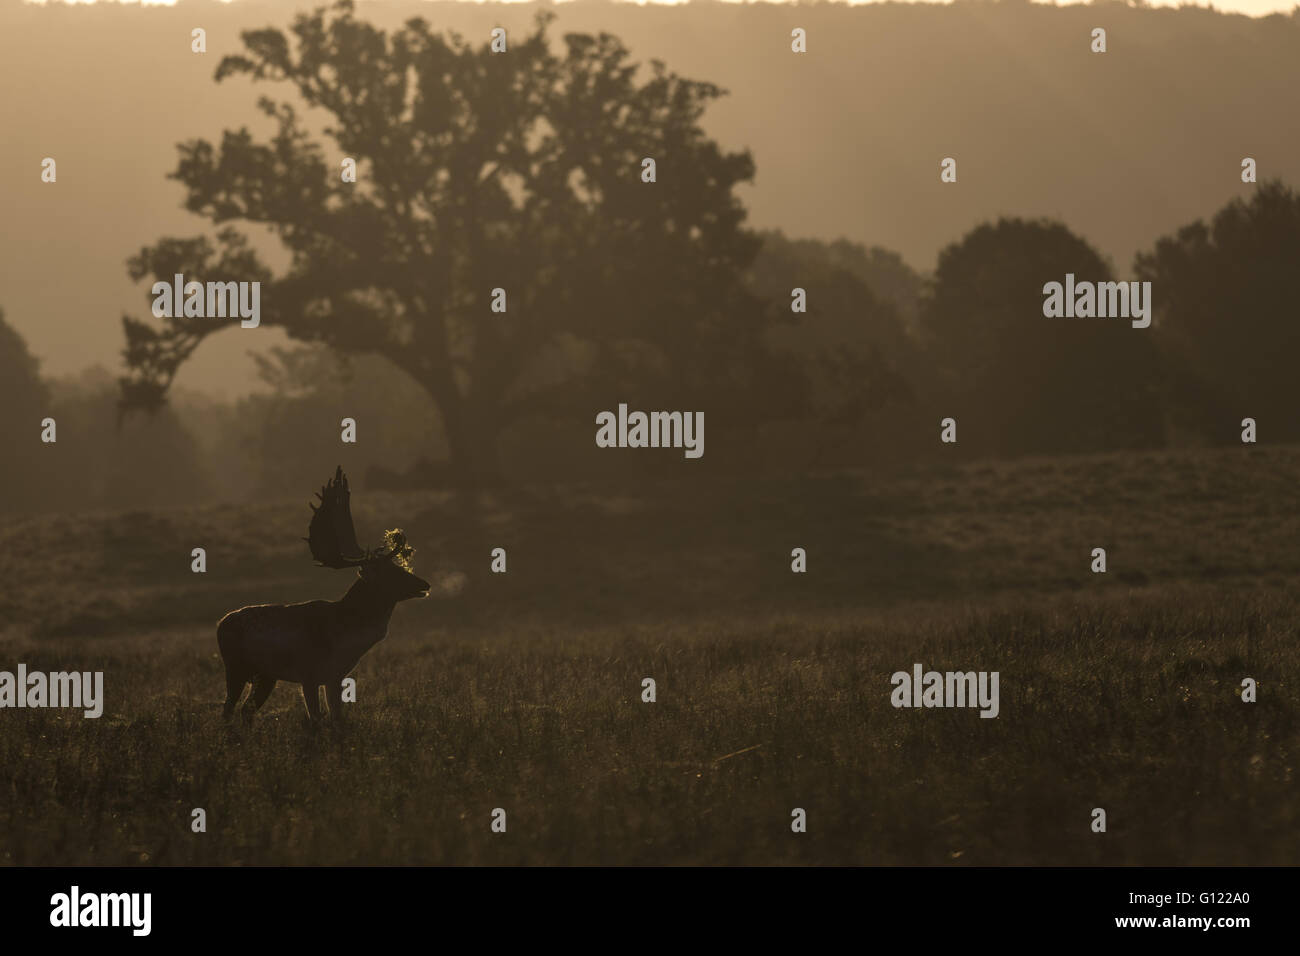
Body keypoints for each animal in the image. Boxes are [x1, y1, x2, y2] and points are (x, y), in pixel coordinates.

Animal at [217, 465, 431, 723]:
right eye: (390, 572)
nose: (425, 584)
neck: (344, 636)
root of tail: (220, 624)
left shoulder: (335, 676)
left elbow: (337, 719)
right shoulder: (308, 673)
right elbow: (315, 720)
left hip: (266, 676)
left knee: (245, 712)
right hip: (235, 667)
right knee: (227, 710)